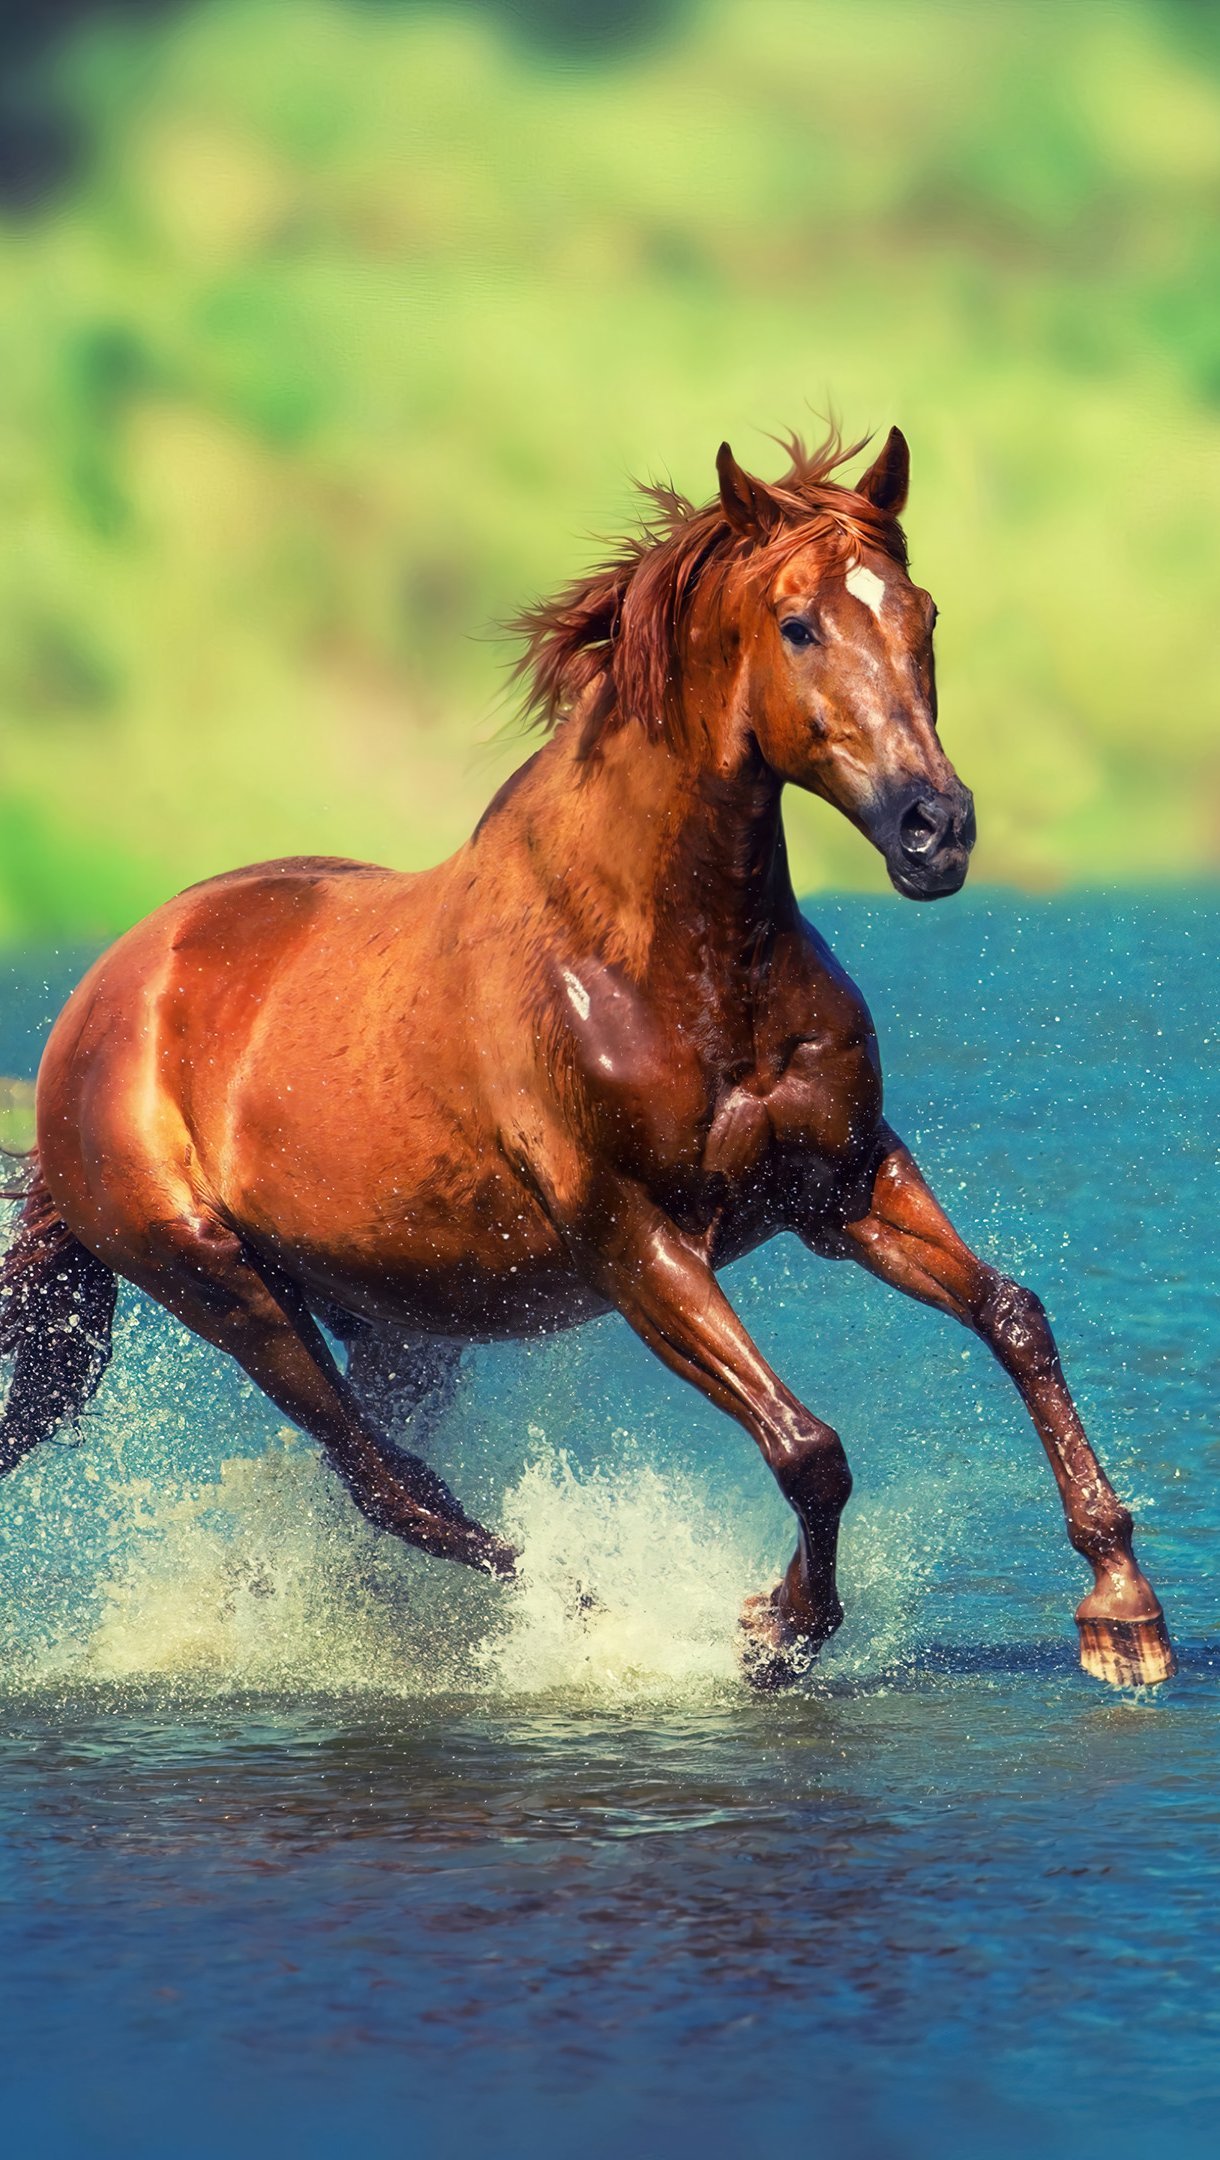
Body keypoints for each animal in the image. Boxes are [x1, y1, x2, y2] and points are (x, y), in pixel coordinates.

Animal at [0, 424, 1174, 1690]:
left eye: (922, 612)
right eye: (797, 625)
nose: (934, 831)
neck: (669, 960)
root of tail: (105, 1000)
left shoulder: (843, 1184)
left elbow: (1013, 1317)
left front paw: (1121, 1614)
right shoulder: (634, 1240)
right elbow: (806, 1446)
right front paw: (773, 1629)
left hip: (400, 1317)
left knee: (371, 1482)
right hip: (220, 1285)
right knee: (387, 1484)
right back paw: (586, 1615)